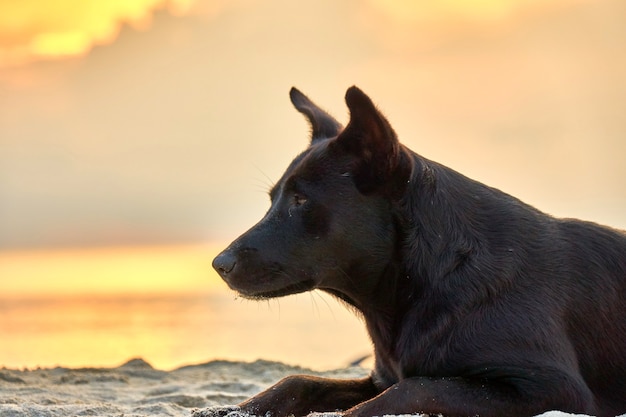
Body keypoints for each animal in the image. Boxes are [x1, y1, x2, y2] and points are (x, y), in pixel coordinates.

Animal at [211, 86, 624, 414]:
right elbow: (297, 381)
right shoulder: (380, 377)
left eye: (300, 201)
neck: (433, 276)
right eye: (274, 200)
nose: (219, 264)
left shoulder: (552, 388)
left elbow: (417, 387)